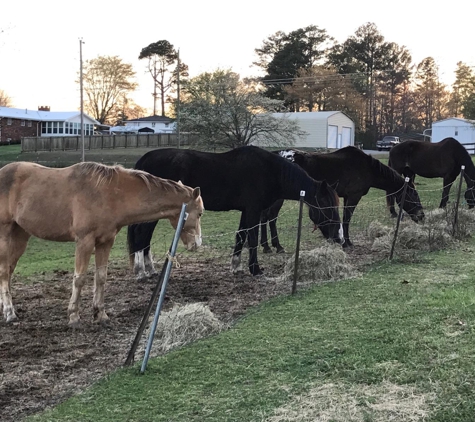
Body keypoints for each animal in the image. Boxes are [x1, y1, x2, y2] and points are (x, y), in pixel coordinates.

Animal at [0, 162, 203, 326]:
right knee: (4, 272)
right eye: (200, 213)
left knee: (8, 271)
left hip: (20, 236)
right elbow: (79, 278)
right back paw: (10, 313)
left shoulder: (105, 242)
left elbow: (101, 277)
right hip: (5, 236)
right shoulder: (85, 241)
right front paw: (74, 316)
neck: (110, 193)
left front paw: (100, 314)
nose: (197, 244)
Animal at [126, 147, 342, 278]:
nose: (338, 238)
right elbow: (252, 238)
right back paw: (141, 271)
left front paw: (236, 266)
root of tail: (145, 160)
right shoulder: (254, 210)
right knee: (141, 235)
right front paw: (255, 269)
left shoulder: (246, 211)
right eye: (328, 207)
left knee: (144, 237)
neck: (271, 171)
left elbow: (240, 236)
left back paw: (149, 269)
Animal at [262, 146, 426, 251]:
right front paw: (347, 243)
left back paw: (267, 246)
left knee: (265, 217)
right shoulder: (354, 197)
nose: (421, 216)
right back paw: (276, 246)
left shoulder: (347, 197)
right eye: (414, 195)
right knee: (271, 216)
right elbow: (347, 219)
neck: (366, 167)